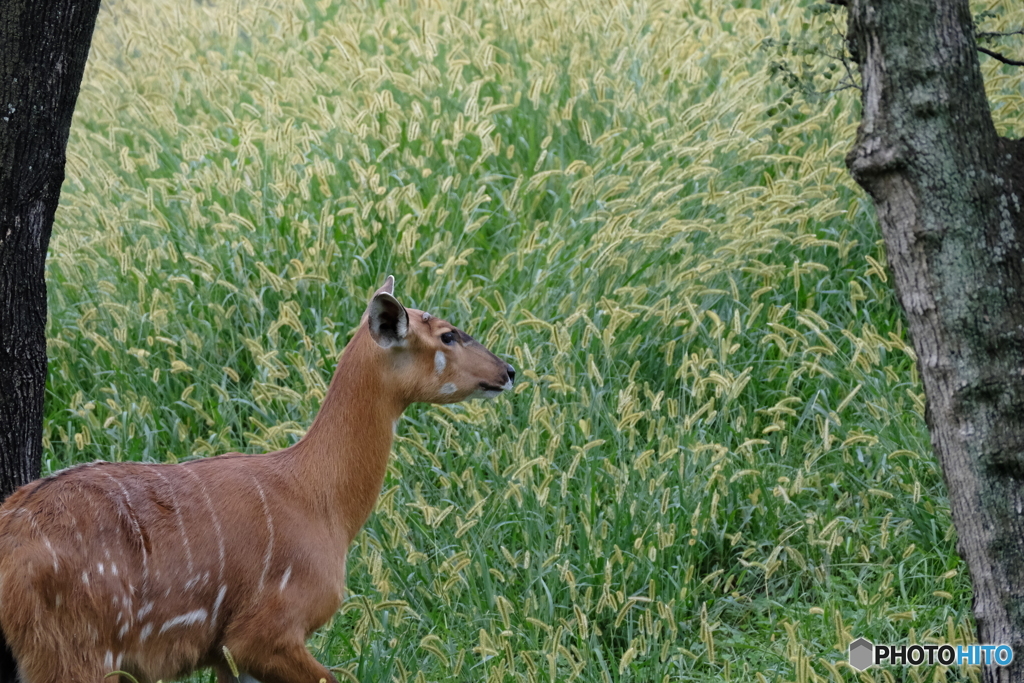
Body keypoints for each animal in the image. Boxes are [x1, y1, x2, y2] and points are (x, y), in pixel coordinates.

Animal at [0, 278, 516, 683]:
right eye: (448, 335)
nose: (508, 370)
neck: (321, 502)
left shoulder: (226, 654)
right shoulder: (263, 632)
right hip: (76, 652)